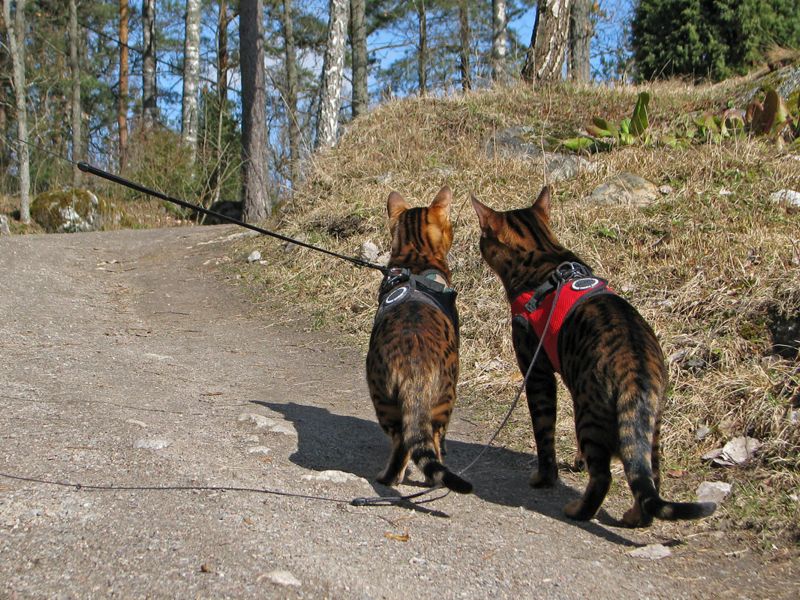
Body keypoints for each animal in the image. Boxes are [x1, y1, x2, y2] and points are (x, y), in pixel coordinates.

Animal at [468, 186, 712, 524]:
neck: (544, 255)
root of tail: (636, 372)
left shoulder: (537, 371)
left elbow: (544, 431)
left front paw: (545, 478)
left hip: (589, 413)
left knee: (603, 477)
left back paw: (578, 510)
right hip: (650, 427)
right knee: (650, 478)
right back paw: (635, 517)